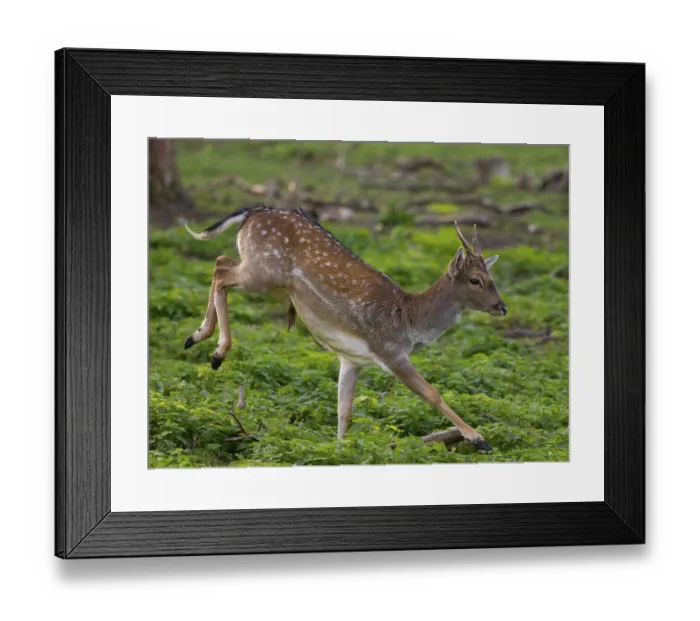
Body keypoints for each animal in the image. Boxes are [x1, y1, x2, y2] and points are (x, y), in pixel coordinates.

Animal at [183, 206, 508, 452]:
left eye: (491, 277)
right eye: (476, 280)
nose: (502, 307)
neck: (411, 322)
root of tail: (250, 213)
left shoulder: (352, 359)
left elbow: (344, 408)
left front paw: (340, 448)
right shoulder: (390, 352)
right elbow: (431, 393)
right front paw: (478, 438)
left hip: (260, 273)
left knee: (220, 263)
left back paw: (196, 337)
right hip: (264, 273)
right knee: (221, 270)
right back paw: (216, 351)